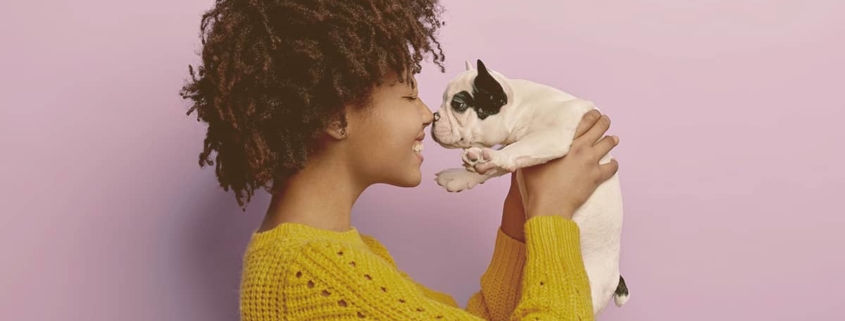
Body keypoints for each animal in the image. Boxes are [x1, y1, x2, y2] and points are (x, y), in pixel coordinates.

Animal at [428, 58, 628, 314]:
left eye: (458, 104)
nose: (434, 116)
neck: (522, 107)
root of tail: (615, 277)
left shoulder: (553, 135)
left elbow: (515, 150)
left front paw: (486, 158)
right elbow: (505, 160)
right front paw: (462, 175)